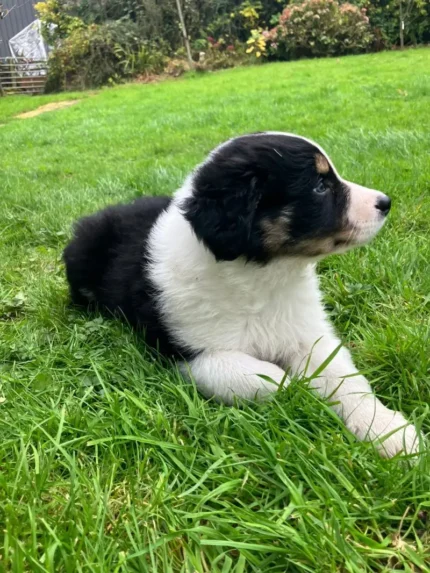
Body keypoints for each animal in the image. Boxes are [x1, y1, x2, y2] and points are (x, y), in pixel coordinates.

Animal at [64, 132, 420, 458]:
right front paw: (296, 389)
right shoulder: (187, 353)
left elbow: (345, 378)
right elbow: (260, 376)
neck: (263, 279)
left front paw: (389, 432)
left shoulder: (308, 334)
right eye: (320, 186)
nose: (385, 202)